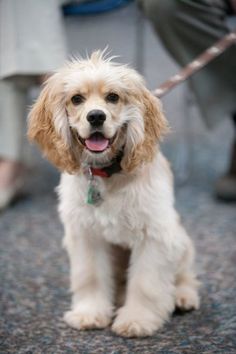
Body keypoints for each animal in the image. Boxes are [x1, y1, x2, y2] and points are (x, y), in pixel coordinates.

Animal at [28, 50, 200, 338]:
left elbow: (146, 283)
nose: (96, 117)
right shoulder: (86, 233)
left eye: (113, 97)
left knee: (185, 274)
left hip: (181, 239)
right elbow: (90, 276)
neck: (106, 174)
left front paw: (137, 320)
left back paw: (183, 296)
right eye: (77, 99)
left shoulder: (155, 234)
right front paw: (90, 313)